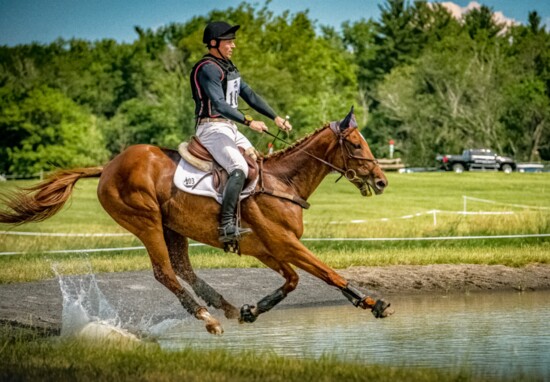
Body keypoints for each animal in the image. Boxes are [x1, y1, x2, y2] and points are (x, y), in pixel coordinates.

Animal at [2, 108, 394, 334]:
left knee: (183, 269)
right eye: (356, 146)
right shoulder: (285, 243)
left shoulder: (268, 248)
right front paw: (372, 303)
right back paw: (207, 318)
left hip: (173, 228)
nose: (381, 181)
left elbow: (293, 280)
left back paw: (227, 307)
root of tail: (108, 166)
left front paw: (253, 309)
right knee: (165, 272)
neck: (284, 183)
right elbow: (327, 273)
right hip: (145, 221)